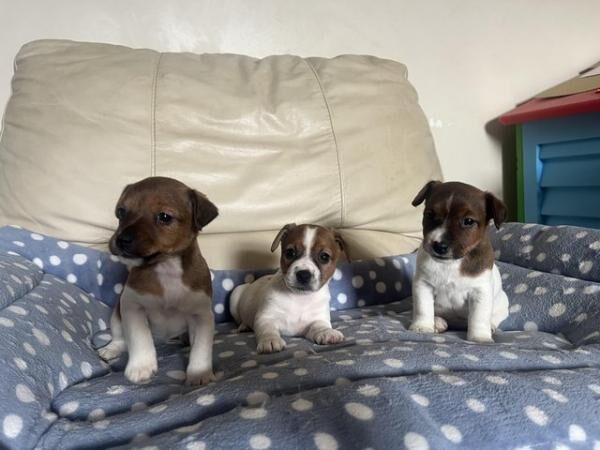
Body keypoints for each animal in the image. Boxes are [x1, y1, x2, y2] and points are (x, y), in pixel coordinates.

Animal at [97, 178, 219, 384]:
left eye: (164, 217)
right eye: (121, 212)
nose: (121, 240)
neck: (166, 268)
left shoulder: (201, 315)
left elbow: (200, 348)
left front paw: (199, 373)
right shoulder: (132, 307)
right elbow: (140, 337)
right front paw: (141, 367)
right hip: (116, 313)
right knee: (120, 337)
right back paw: (111, 348)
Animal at [232, 223, 350, 354]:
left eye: (324, 256)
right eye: (290, 253)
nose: (303, 274)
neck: (299, 298)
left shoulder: (317, 319)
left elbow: (320, 326)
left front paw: (327, 332)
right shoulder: (266, 318)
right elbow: (267, 330)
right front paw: (270, 340)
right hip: (235, 296)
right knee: (239, 319)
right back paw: (244, 326)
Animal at [408, 181, 506, 342]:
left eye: (468, 221)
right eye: (430, 214)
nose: (439, 246)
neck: (451, 263)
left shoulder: (480, 291)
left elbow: (479, 316)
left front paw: (479, 337)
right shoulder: (423, 285)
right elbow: (424, 308)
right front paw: (422, 326)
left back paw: (491, 326)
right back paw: (437, 322)